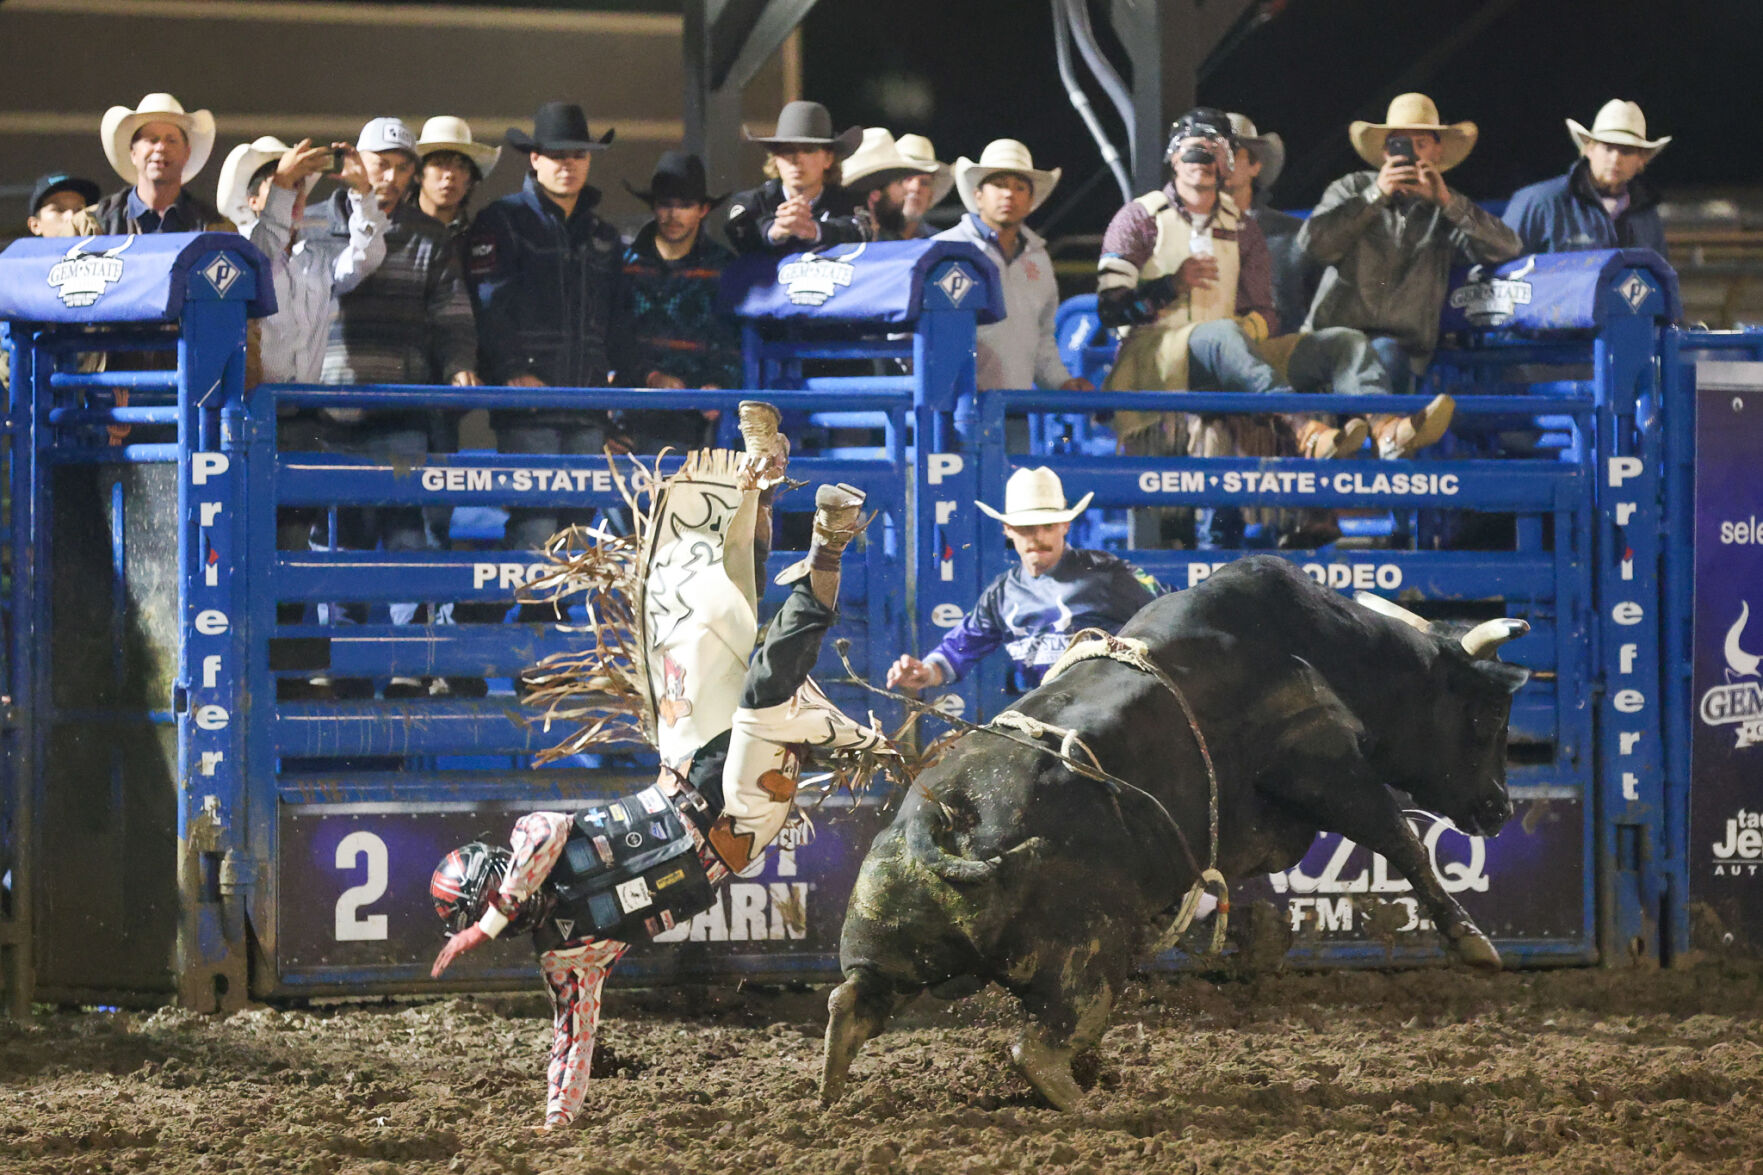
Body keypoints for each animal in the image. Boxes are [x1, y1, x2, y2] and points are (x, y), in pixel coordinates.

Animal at [821, 557, 1530, 1107]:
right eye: (1488, 715)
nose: (1499, 809)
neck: (1327, 649)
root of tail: (938, 817)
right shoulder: (1320, 762)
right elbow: (1398, 836)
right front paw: (1474, 944)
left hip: (888, 936)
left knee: (859, 998)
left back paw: (832, 1085)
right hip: (1085, 956)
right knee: (1040, 1044)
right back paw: (1082, 1099)